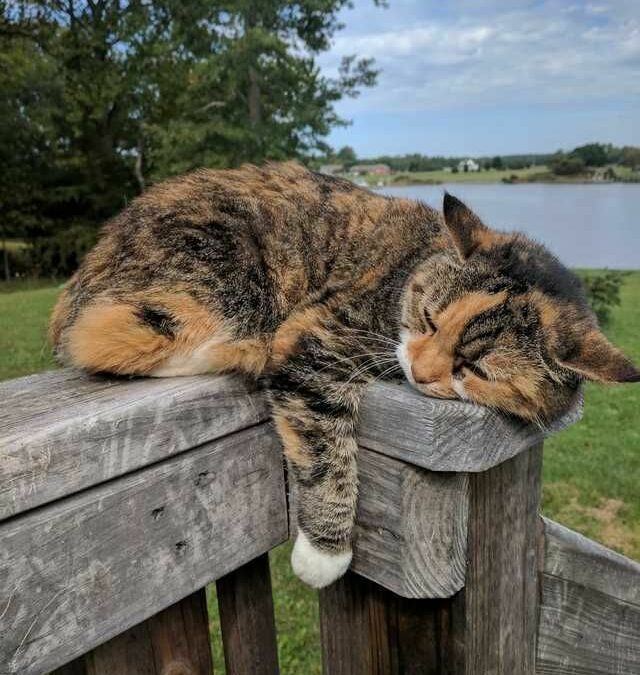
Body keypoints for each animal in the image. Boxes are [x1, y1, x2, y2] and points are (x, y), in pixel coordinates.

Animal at [47, 162, 636, 588]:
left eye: (475, 368)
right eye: (428, 318)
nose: (419, 371)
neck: (409, 268)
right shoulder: (317, 334)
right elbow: (326, 446)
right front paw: (325, 554)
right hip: (215, 281)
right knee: (100, 338)